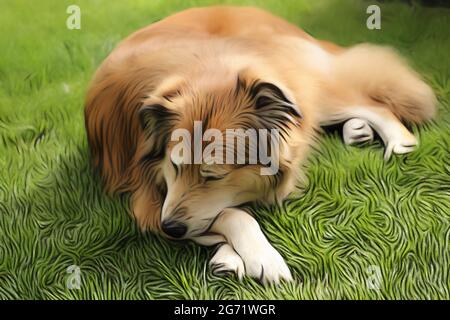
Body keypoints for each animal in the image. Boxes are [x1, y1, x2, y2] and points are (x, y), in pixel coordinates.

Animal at [84, 6, 436, 284]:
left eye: (214, 175)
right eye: (174, 165)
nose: (169, 227)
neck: (204, 69)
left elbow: (228, 212)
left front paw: (253, 256)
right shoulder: (147, 199)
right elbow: (227, 213)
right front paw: (240, 256)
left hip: (308, 89)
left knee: (371, 103)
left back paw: (399, 142)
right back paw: (356, 130)